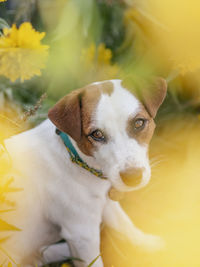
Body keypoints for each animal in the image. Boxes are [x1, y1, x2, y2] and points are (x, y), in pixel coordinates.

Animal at [2, 78, 166, 266]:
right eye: (97, 134)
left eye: (139, 123)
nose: (132, 177)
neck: (76, 159)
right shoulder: (82, 235)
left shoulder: (106, 202)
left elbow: (125, 225)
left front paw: (149, 245)